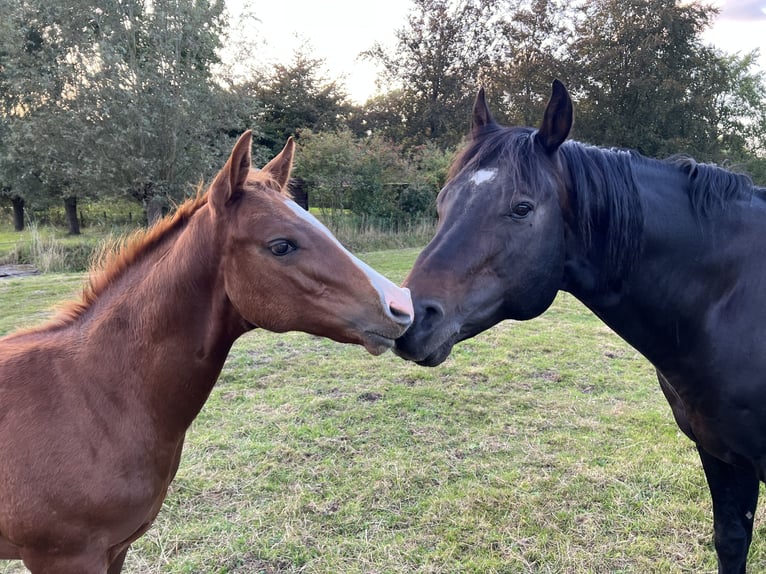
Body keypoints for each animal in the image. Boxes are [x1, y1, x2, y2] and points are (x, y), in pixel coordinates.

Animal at [395, 80, 766, 573]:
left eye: (522, 208)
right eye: (442, 203)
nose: (410, 318)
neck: (729, 297)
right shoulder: (723, 456)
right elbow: (731, 541)